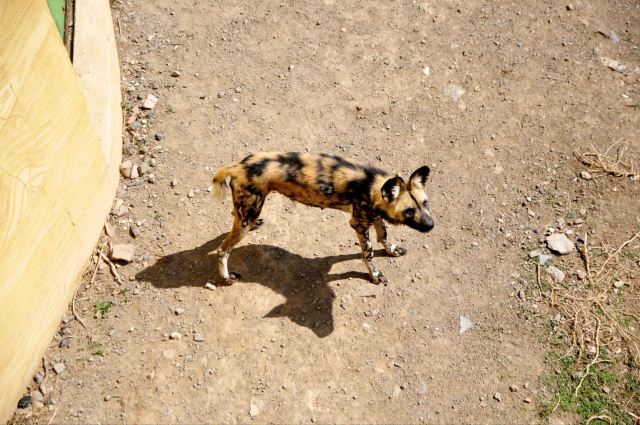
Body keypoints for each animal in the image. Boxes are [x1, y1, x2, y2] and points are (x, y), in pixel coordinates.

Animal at [211, 152, 436, 284]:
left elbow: (383, 235)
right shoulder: (359, 224)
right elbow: (369, 254)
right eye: (409, 211)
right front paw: (375, 275)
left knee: (233, 216)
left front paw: (390, 250)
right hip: (247, 217)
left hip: (249, 210)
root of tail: (238, 167)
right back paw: (226, 277)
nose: (431, 225)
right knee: (222, 250)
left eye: (425, 203)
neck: (372, 185)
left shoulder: (374, 217)